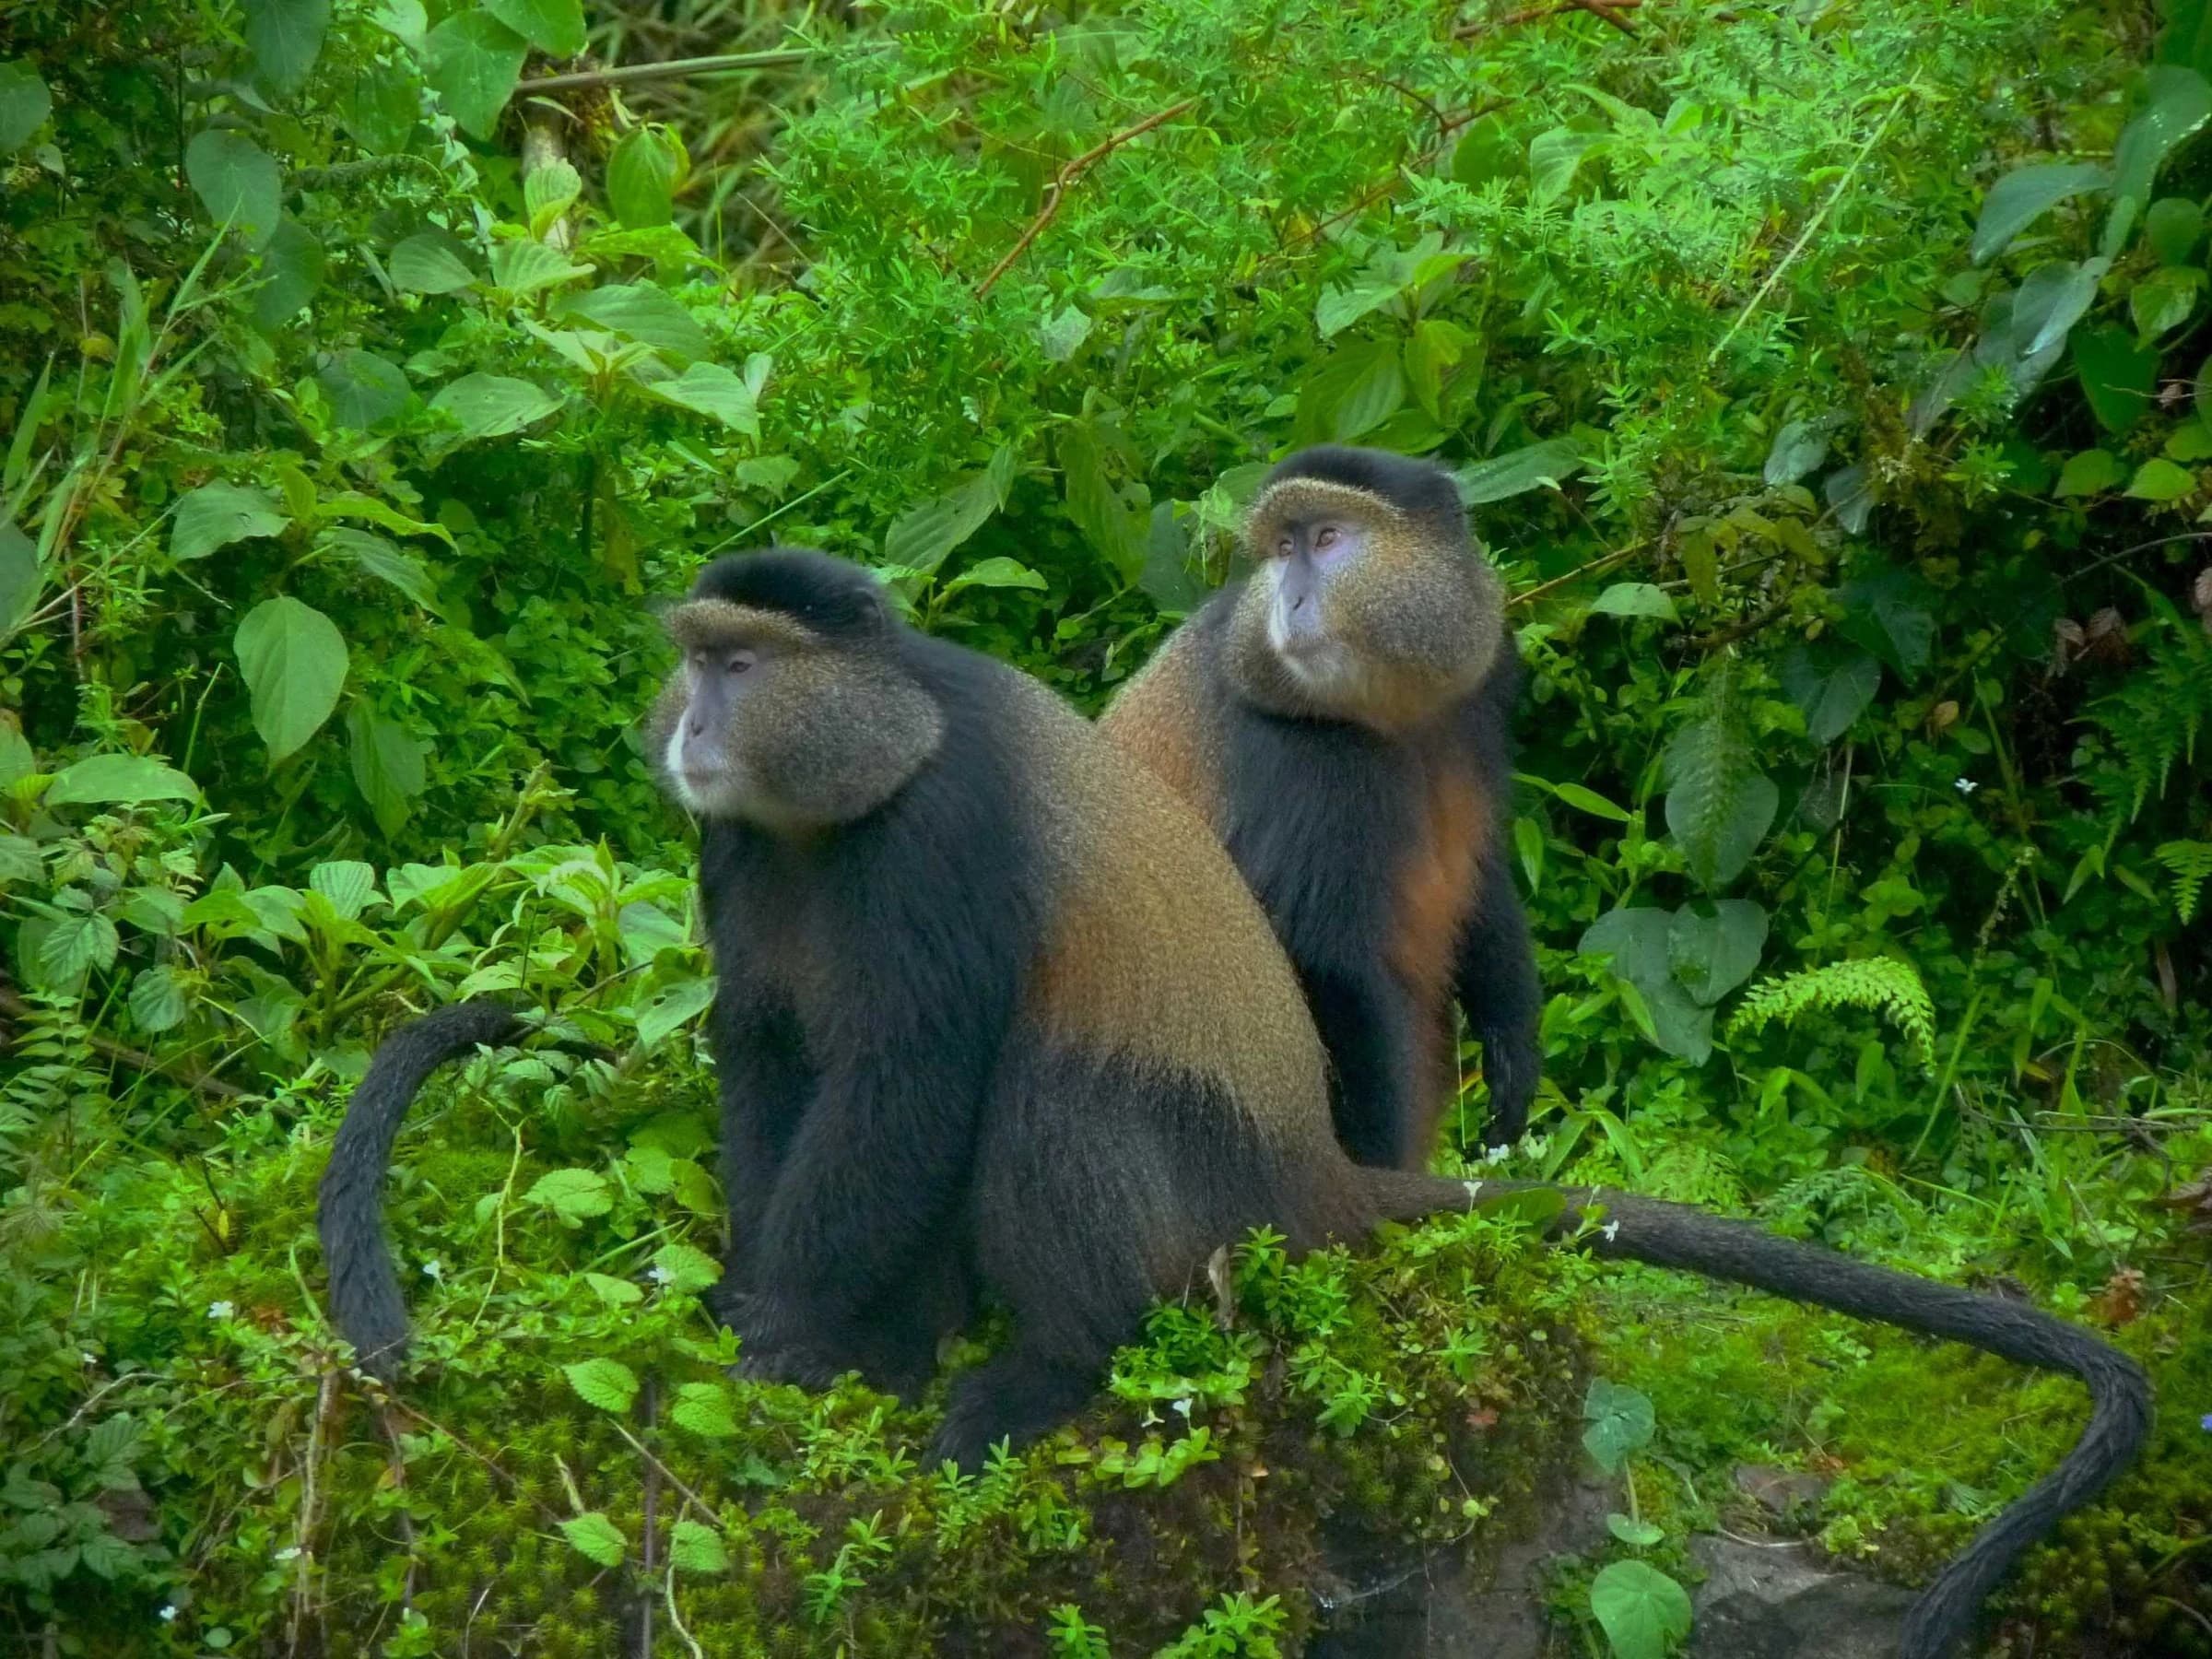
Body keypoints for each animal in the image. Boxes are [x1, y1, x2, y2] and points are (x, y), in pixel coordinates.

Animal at [318, 548, 2147, 1659]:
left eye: (745, 662)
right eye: (695, 659)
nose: (691, 721)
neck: (851, 787)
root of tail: (1310, 1170)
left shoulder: (939, 845)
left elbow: (910, 1082)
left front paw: (777, 1329)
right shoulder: (739, 863)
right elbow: (773, 1065)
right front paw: (788, 1322)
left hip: (1191, 1183)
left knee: (1047, 1095)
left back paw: (1043, 1371)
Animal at [1101, 445, 1539, 1168]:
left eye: (1327, 538)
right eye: (1284, 549)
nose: (1291, 598)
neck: (1390, 712)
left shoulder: (1484, 683)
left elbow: (1484, 871)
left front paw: (1513, 1050)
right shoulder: (1297, 762)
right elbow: (1322, 962)